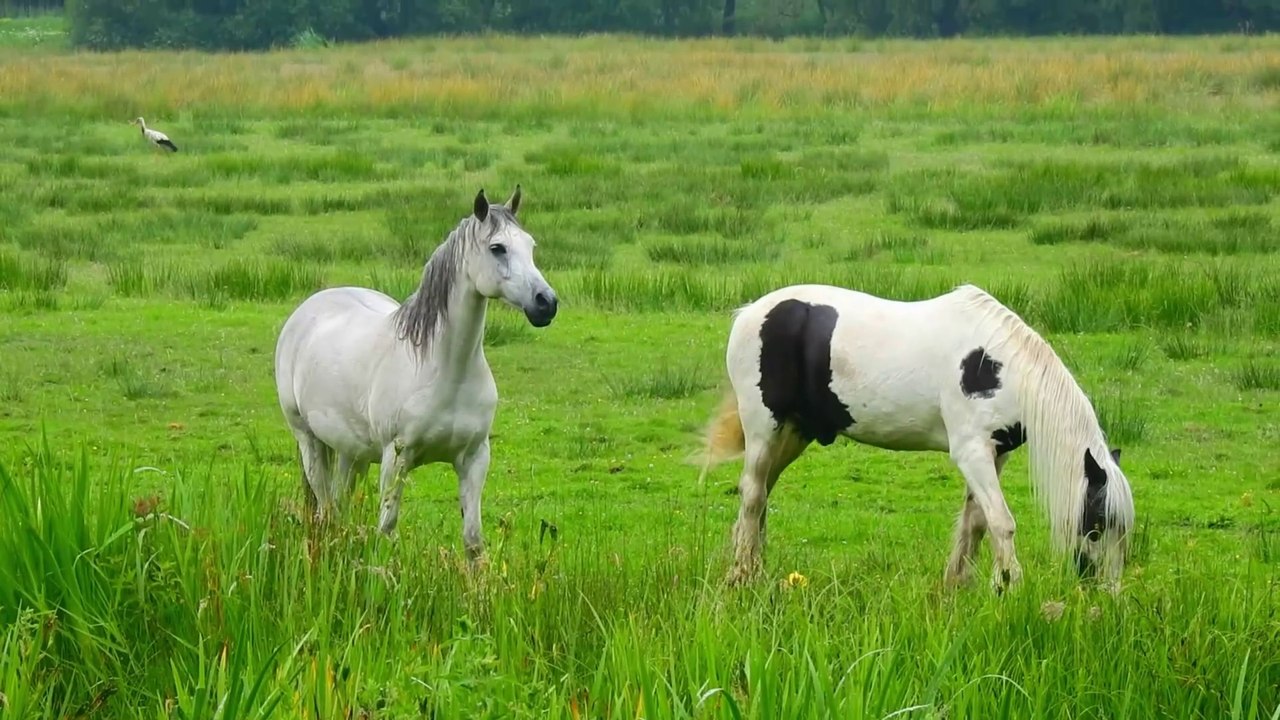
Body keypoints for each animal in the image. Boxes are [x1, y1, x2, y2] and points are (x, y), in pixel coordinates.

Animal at [273, 187, 558, 565]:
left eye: (530, 245)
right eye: (497, 247)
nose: (546, 303)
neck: (445, 371)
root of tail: (310, 308)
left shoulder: (475, 458)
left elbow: (473, 542)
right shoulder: (396, 458)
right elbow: (387, 529)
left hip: (351, 453)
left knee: (339, 509)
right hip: (310, 442)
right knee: (326, 509)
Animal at [696, 283, 1135, 593]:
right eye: (1097, 523)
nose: (1109, 593)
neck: (996, 366)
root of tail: (749, 314)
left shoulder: (994, 453)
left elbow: (975, 522)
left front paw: (962, 586)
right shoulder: (972, 453)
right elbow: (1001, 522)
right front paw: (1012, 587)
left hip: (791, 434)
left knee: (759, 498)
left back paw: (755, 570)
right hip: (764, 429)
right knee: (753, 495)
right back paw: (742, 576)